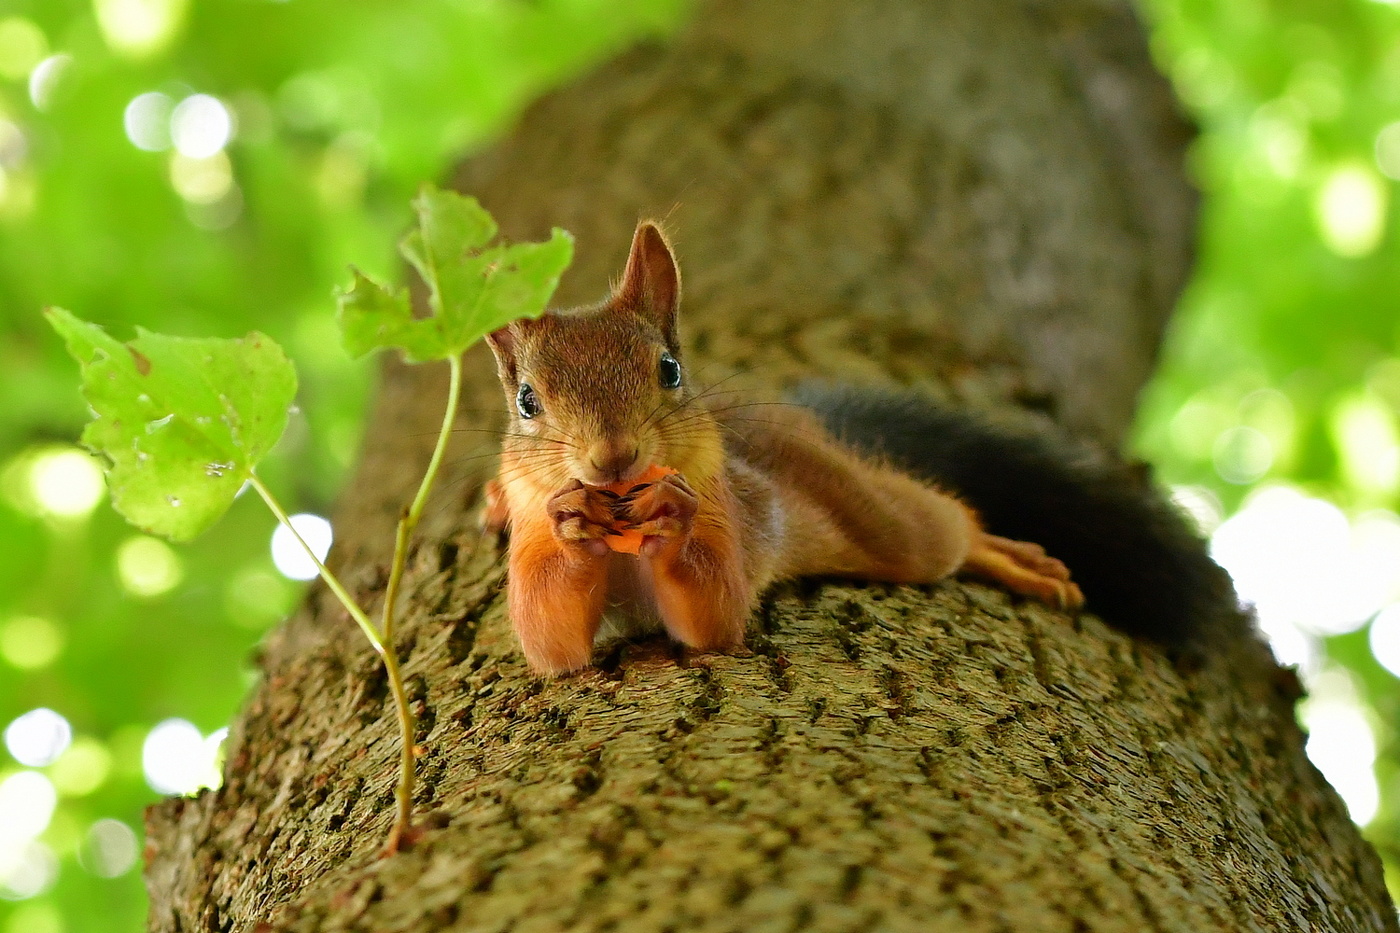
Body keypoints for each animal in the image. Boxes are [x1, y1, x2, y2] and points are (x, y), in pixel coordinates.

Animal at [483, 222, 1232, 675]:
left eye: (669, 369)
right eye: (527, 401)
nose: (612, 458)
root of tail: (809, 436)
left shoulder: (728, 507)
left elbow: (715, 609)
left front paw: (672, 513)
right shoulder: (534, 544)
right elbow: (549, 637)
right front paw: (570, 520)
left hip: (885, 524)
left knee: (944, 529)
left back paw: (1010, 557)